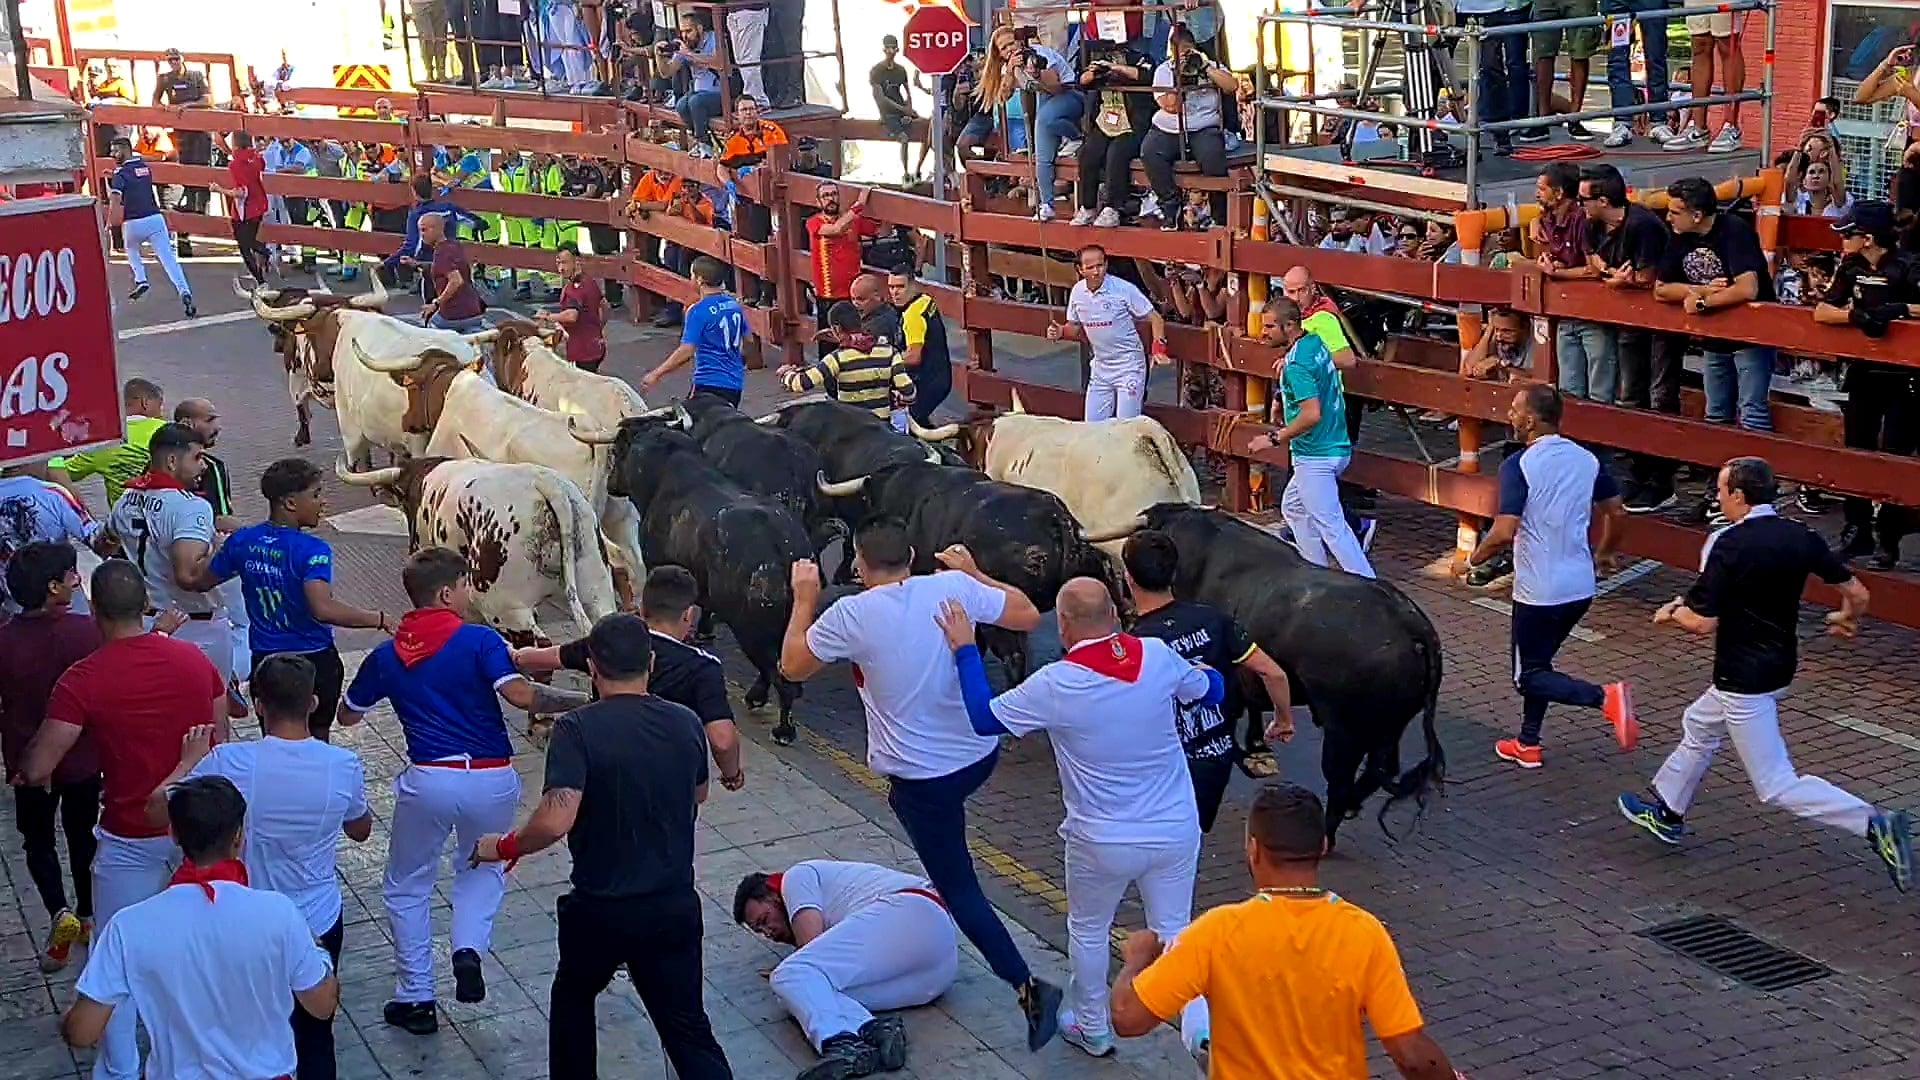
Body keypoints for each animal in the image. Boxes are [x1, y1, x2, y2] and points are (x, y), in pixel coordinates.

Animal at [564, 417, 814, 745]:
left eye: (618, 449)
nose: (613, 485)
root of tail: (782, 546)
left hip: (751, 626)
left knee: (776, 672)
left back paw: (783, 728)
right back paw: (758, 697)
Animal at [1098, 499, 1443, 845]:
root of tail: (1410, 621)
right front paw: (1257, 746)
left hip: (1344, 731)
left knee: (1341, 777)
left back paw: (1327, 831)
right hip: (1389, 726)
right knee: (1380, 769)